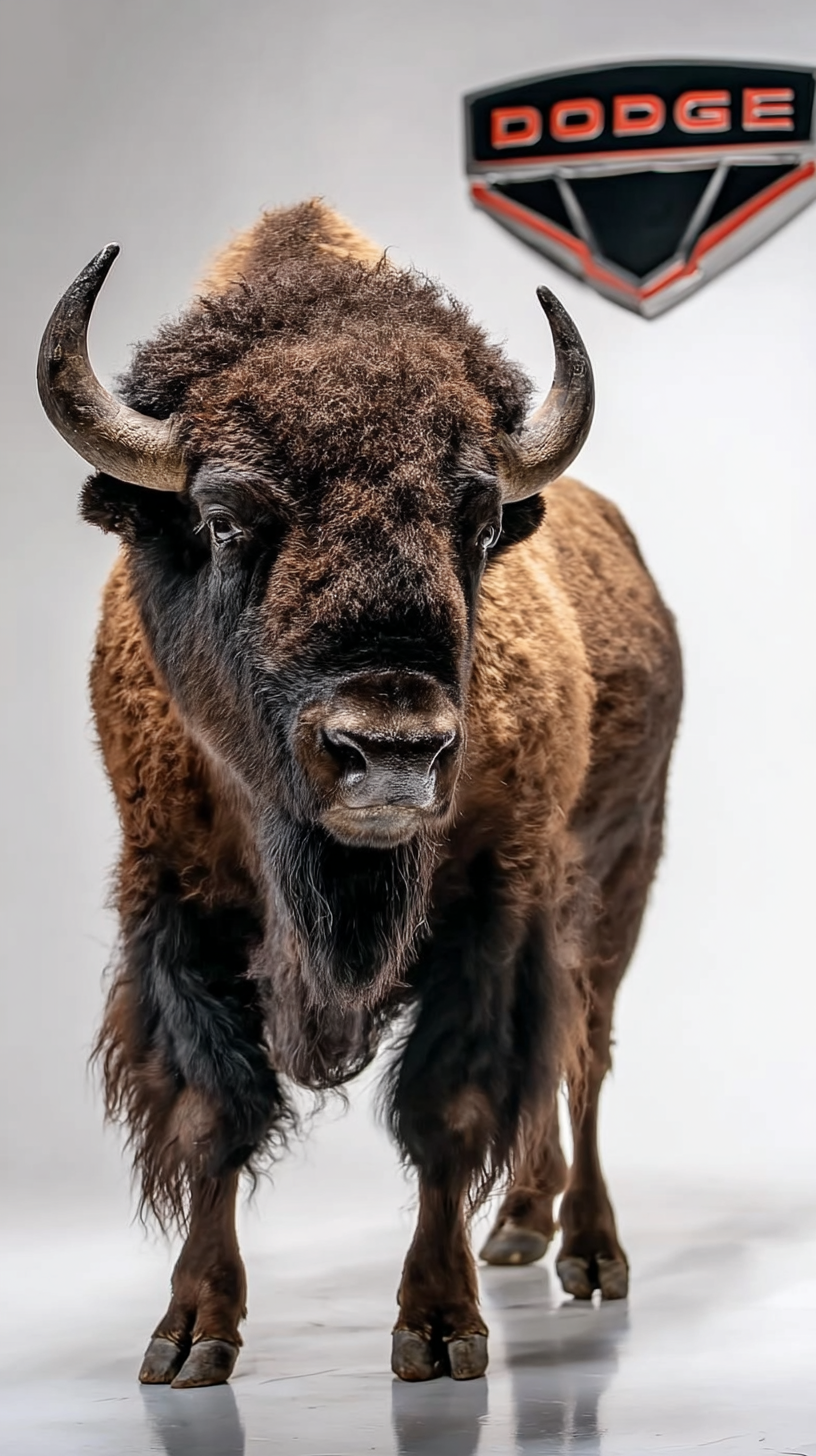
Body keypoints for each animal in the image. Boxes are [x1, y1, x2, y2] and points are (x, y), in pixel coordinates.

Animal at [38, 200, 682, 1386]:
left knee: (584, 1054)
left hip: (618, 875)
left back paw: (588, 1253)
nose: (391, 751)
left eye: (478, 523)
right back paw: (519, 1227)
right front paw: (189, 1335)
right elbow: (213, 1110)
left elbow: (450, 1105)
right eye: (225, 516)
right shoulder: (172, 899)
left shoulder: (493, 903)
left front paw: (439, 1327)